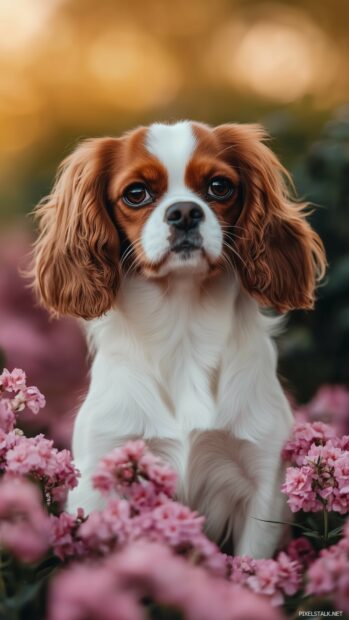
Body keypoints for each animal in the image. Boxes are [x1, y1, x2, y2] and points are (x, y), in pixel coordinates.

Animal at [31, 120, 324, 556]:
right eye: (136, 193)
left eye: (219, 186)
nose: (185, 212)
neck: (182, 325)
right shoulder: (101, 476)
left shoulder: (264, 484)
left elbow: (252, 562)